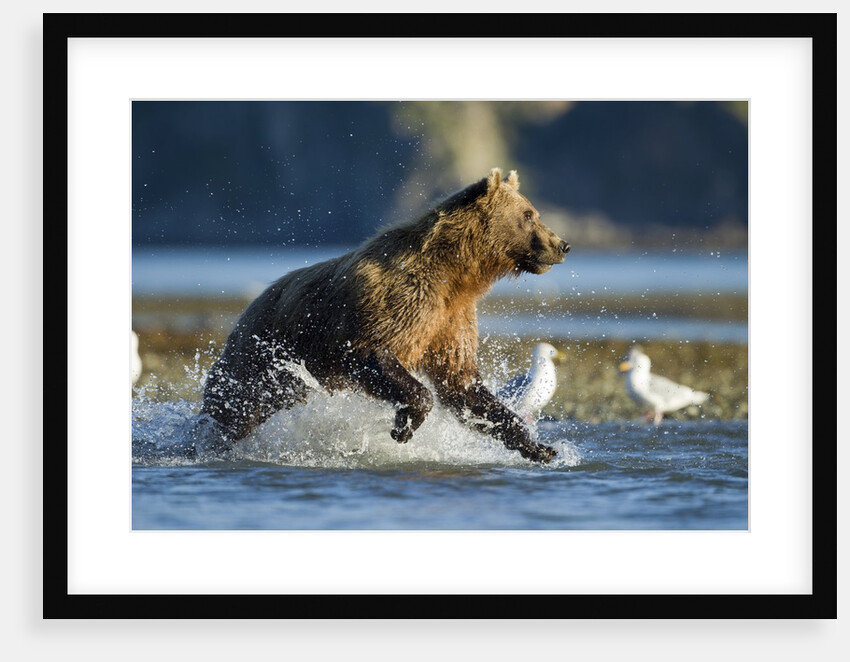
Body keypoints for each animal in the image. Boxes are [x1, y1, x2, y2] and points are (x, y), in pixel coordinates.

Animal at [198, 168, 570, 462]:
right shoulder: (397, 302)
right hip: (260, 358)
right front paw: (404, 426)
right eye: (529, 214)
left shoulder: (451, 319)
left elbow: (461, 384)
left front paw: (540, 447)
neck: (455, 275)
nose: (562, 245)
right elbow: (371, 351)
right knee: (234, 410)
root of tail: (246, 312)